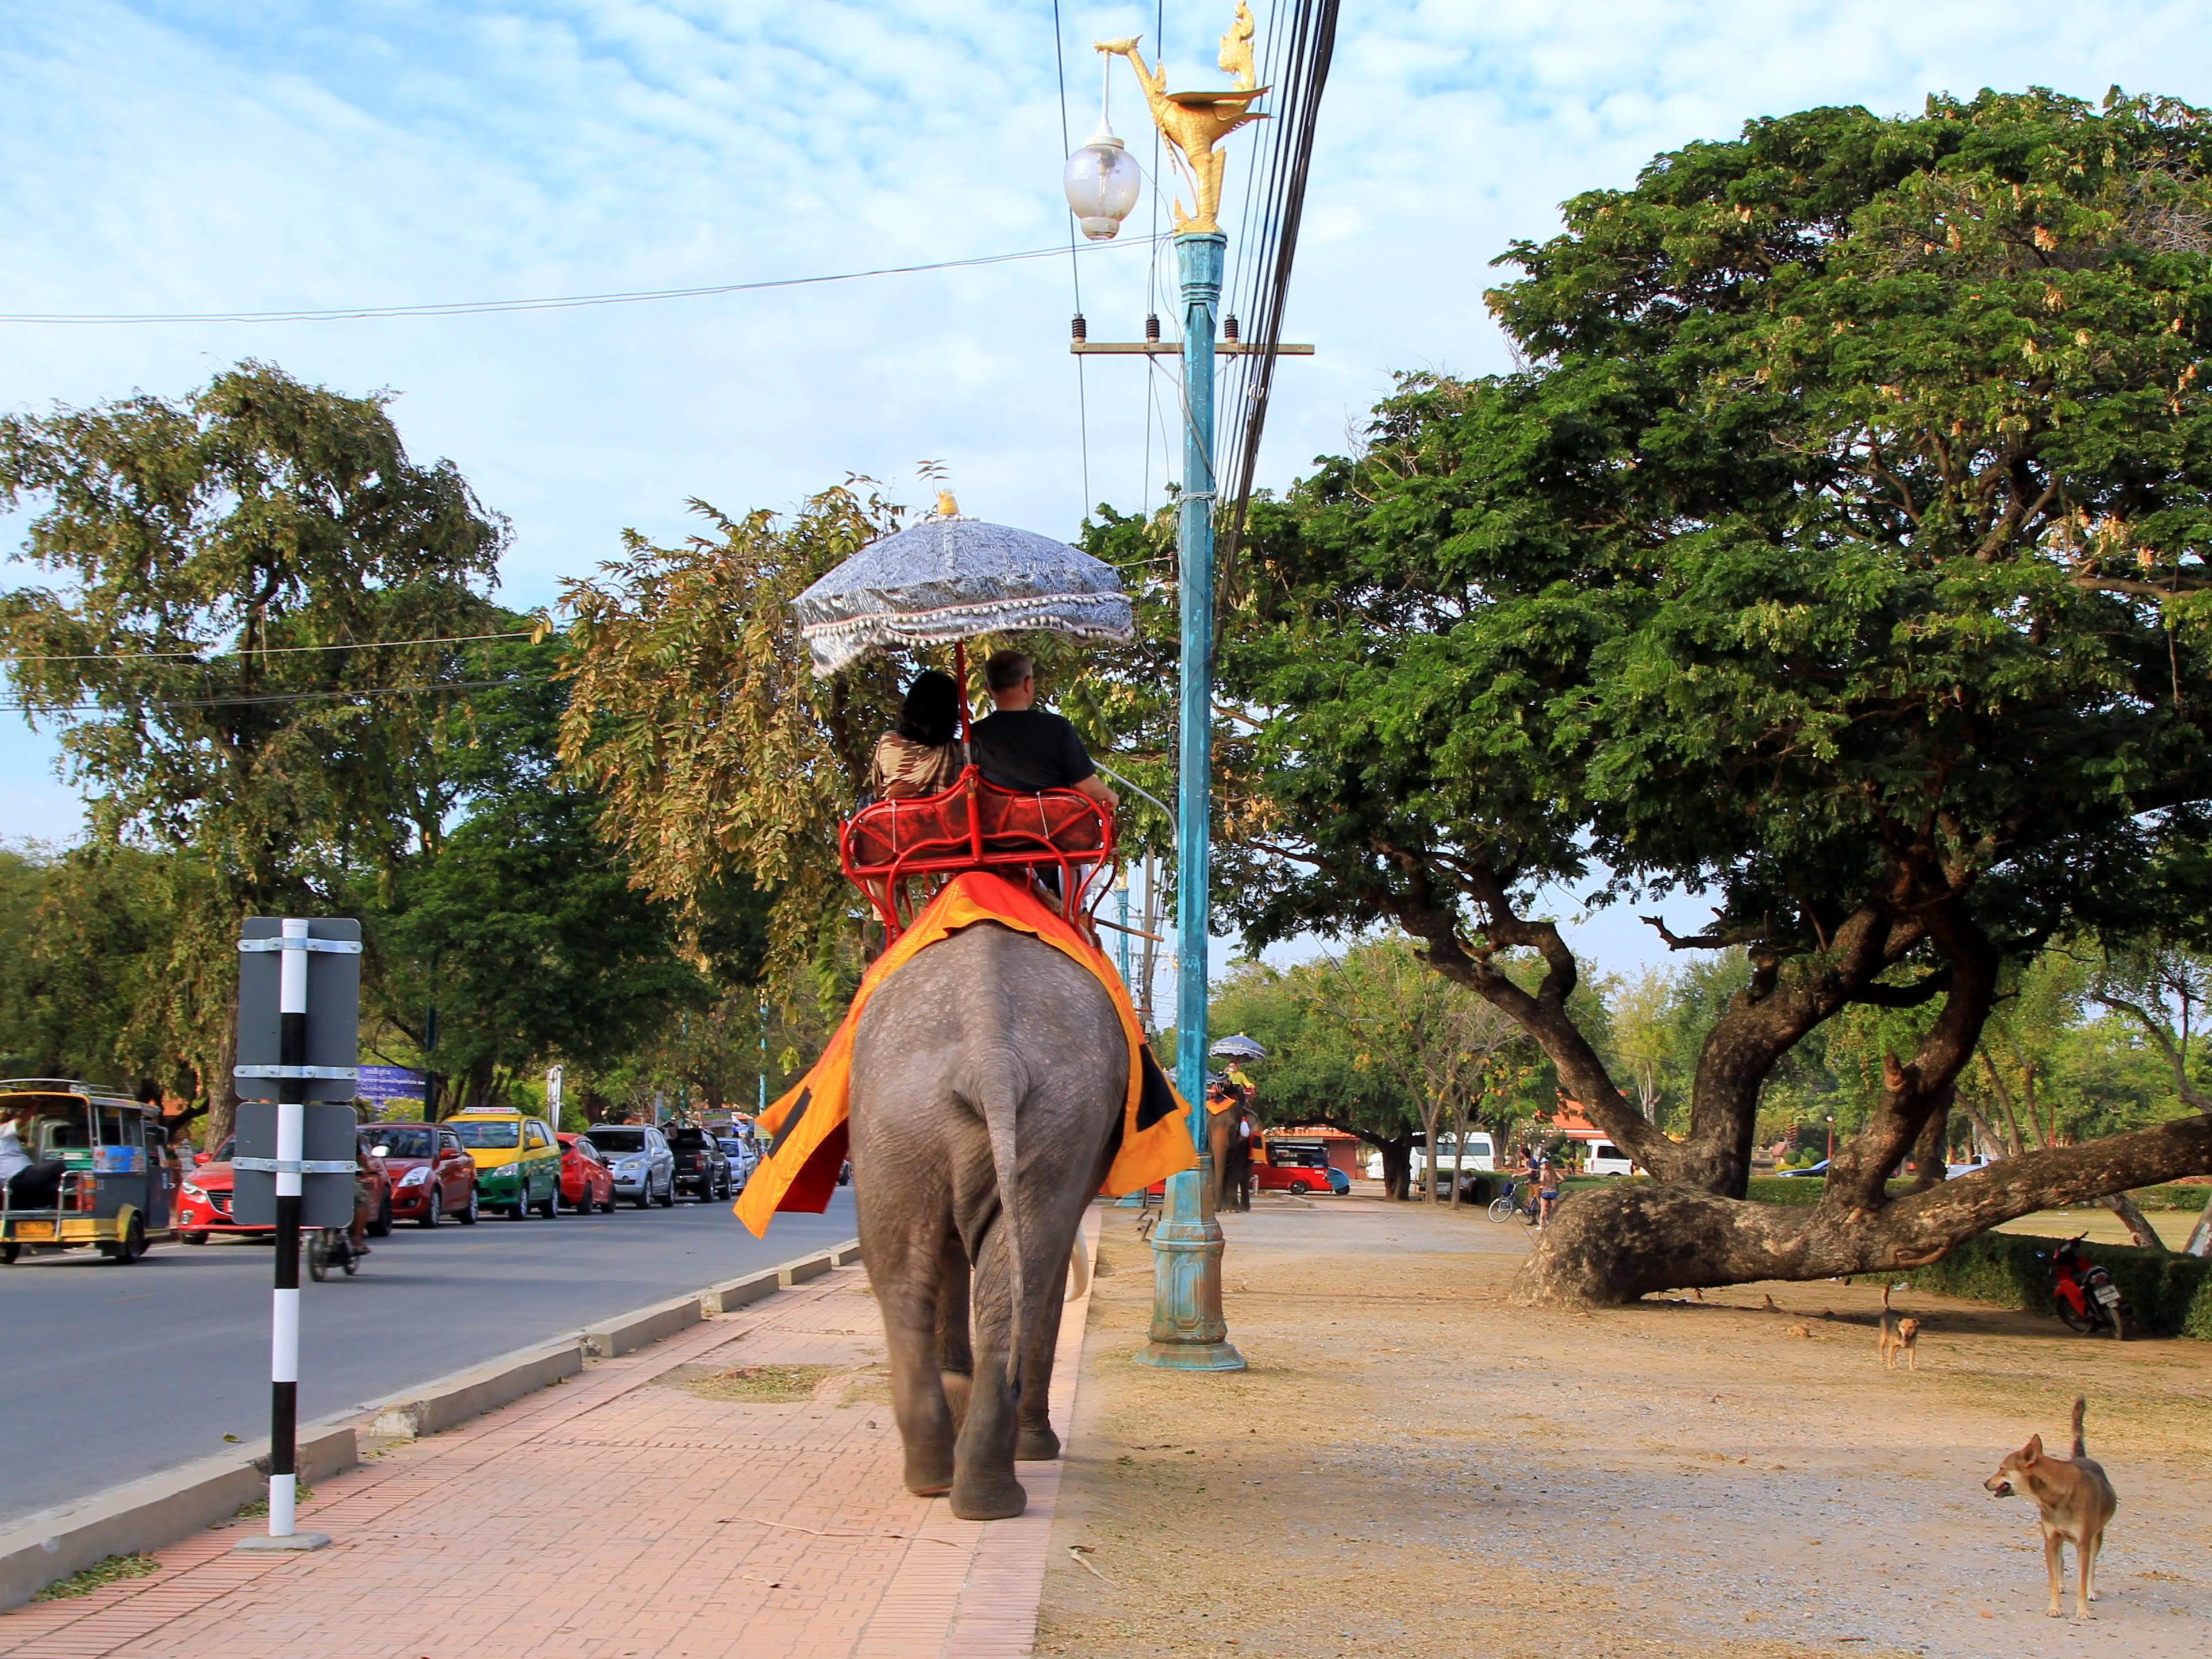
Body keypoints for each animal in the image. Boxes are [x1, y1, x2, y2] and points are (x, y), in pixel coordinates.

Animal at [840, 929, 1132, 1530]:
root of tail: (991, 1053)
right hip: (923, 1115)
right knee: (973, 1270)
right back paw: (963, 1481)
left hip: (914, 1116)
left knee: (919, 1274)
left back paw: (956, 1486)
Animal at [1991, 1407, 2123, 1628]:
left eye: (2002, 1469)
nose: (1985, 1483)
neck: (2056, 1495)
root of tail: (2082, 1457)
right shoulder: (2051, 1540)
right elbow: (2053, 1580)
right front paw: (2054, 1608)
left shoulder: (2083, 1544)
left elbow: (2082, 1580)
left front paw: (2083, 1611)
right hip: (2059, 1540)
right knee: (2061, 1561)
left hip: (2096, 1538)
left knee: (2092, 1568)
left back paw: (2091, 1592)